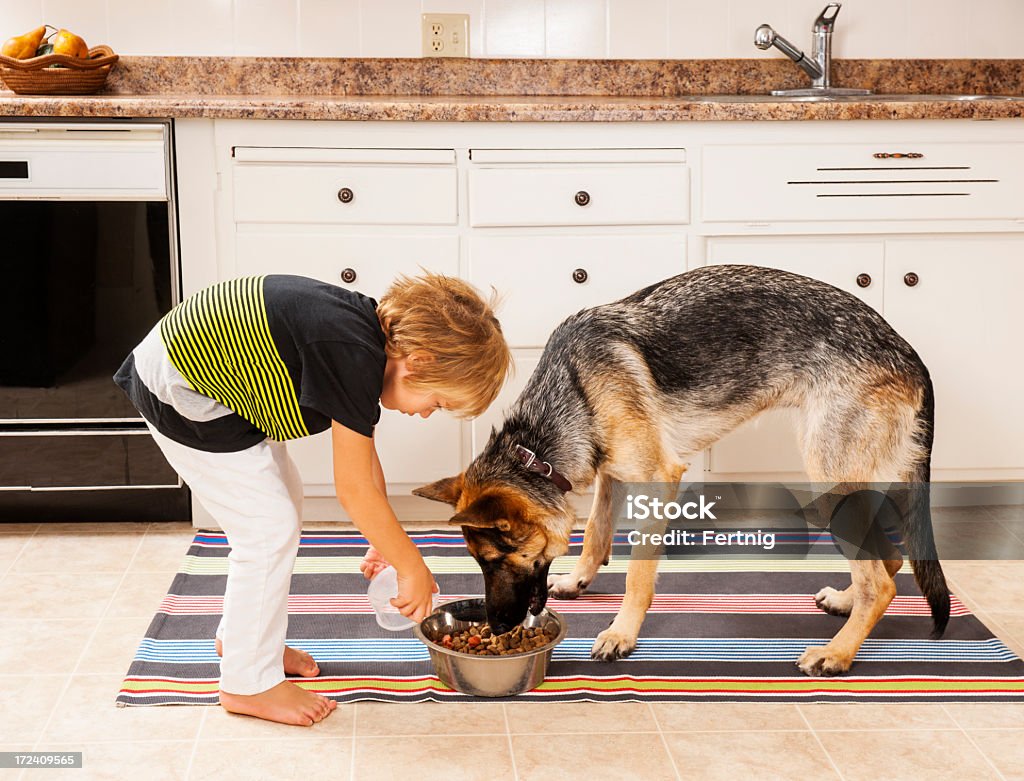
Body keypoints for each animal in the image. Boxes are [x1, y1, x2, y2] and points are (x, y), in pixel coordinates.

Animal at [411, 264, 946, 679]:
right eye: (478, 563)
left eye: (496, 560)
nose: (499, 628)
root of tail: (911, 353)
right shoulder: (611, 473)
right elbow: (596, 534)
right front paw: (579, 580)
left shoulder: (656, 477)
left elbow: (636, 573)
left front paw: (622, 633)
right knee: (890, 559)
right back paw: (844, 604)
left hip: (828, 476)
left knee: (882, 581)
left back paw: (837, 653)